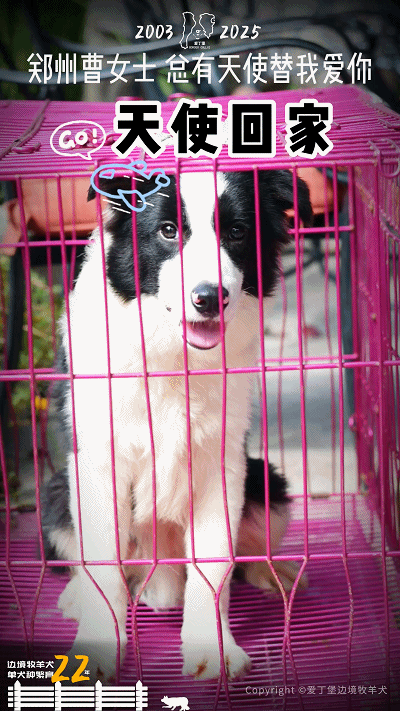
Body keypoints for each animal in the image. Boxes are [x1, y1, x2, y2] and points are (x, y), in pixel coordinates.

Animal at [41, 168, 311, 681]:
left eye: (237, 232)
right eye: (168, 231)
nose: (209, 298)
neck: (172, 354)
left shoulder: (222, 463)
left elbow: (215, 561)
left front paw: (212, 649)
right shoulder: (97, 463)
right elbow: (102, 566)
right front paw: (99, 650)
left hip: (265, 478)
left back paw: (275, 574)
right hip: (56, 493)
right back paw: (77, 597)